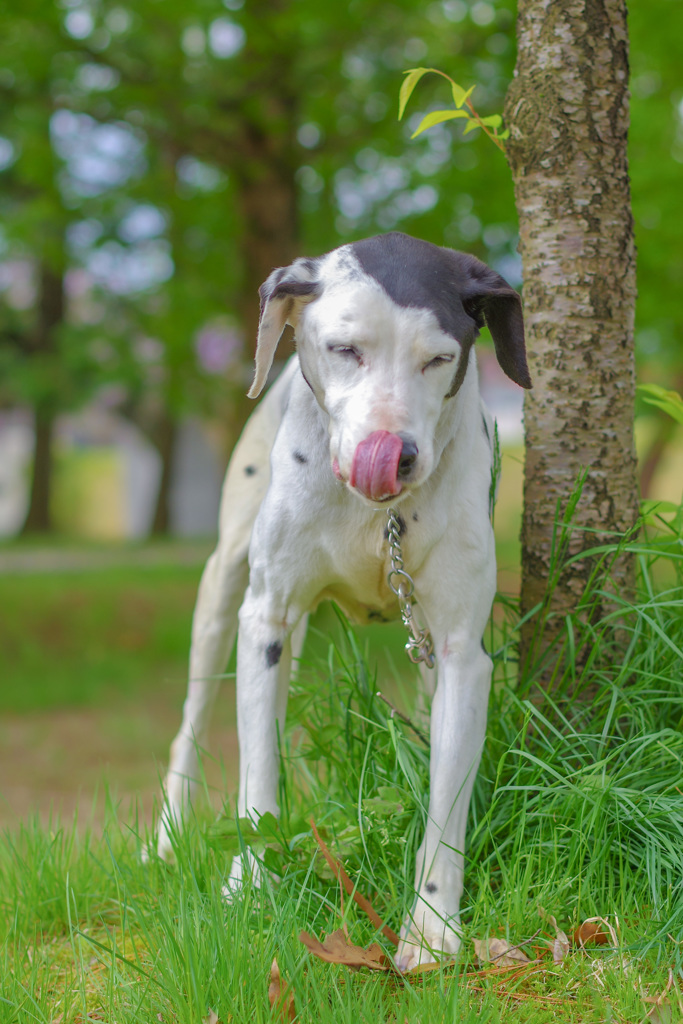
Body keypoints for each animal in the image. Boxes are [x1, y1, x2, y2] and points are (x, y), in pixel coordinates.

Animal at [157, 232, 532, 966]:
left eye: (438, 358)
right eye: (344, 348)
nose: (395, 452)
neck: (374, 517)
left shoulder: (459, 655)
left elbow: (446, 803)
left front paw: (432, 928)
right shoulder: (265, 621)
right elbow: (257, 778)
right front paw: (251, 886)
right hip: (220, 593)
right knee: (190, 720)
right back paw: (165, 833)